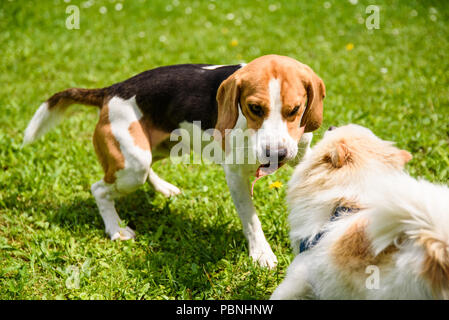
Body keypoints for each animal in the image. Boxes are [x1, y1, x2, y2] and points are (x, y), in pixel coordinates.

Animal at [22, 54, 324, 268]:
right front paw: (261, 253)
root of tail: (112, 90)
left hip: (156, 150)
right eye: (254, 108)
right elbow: (251, 219)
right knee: (99, 188)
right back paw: (115, 228)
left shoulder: (302, 156)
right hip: (132, 168)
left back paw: (163, 188)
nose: (276, 155)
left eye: (295, 110)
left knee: (146, 170)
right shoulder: (236, 175)